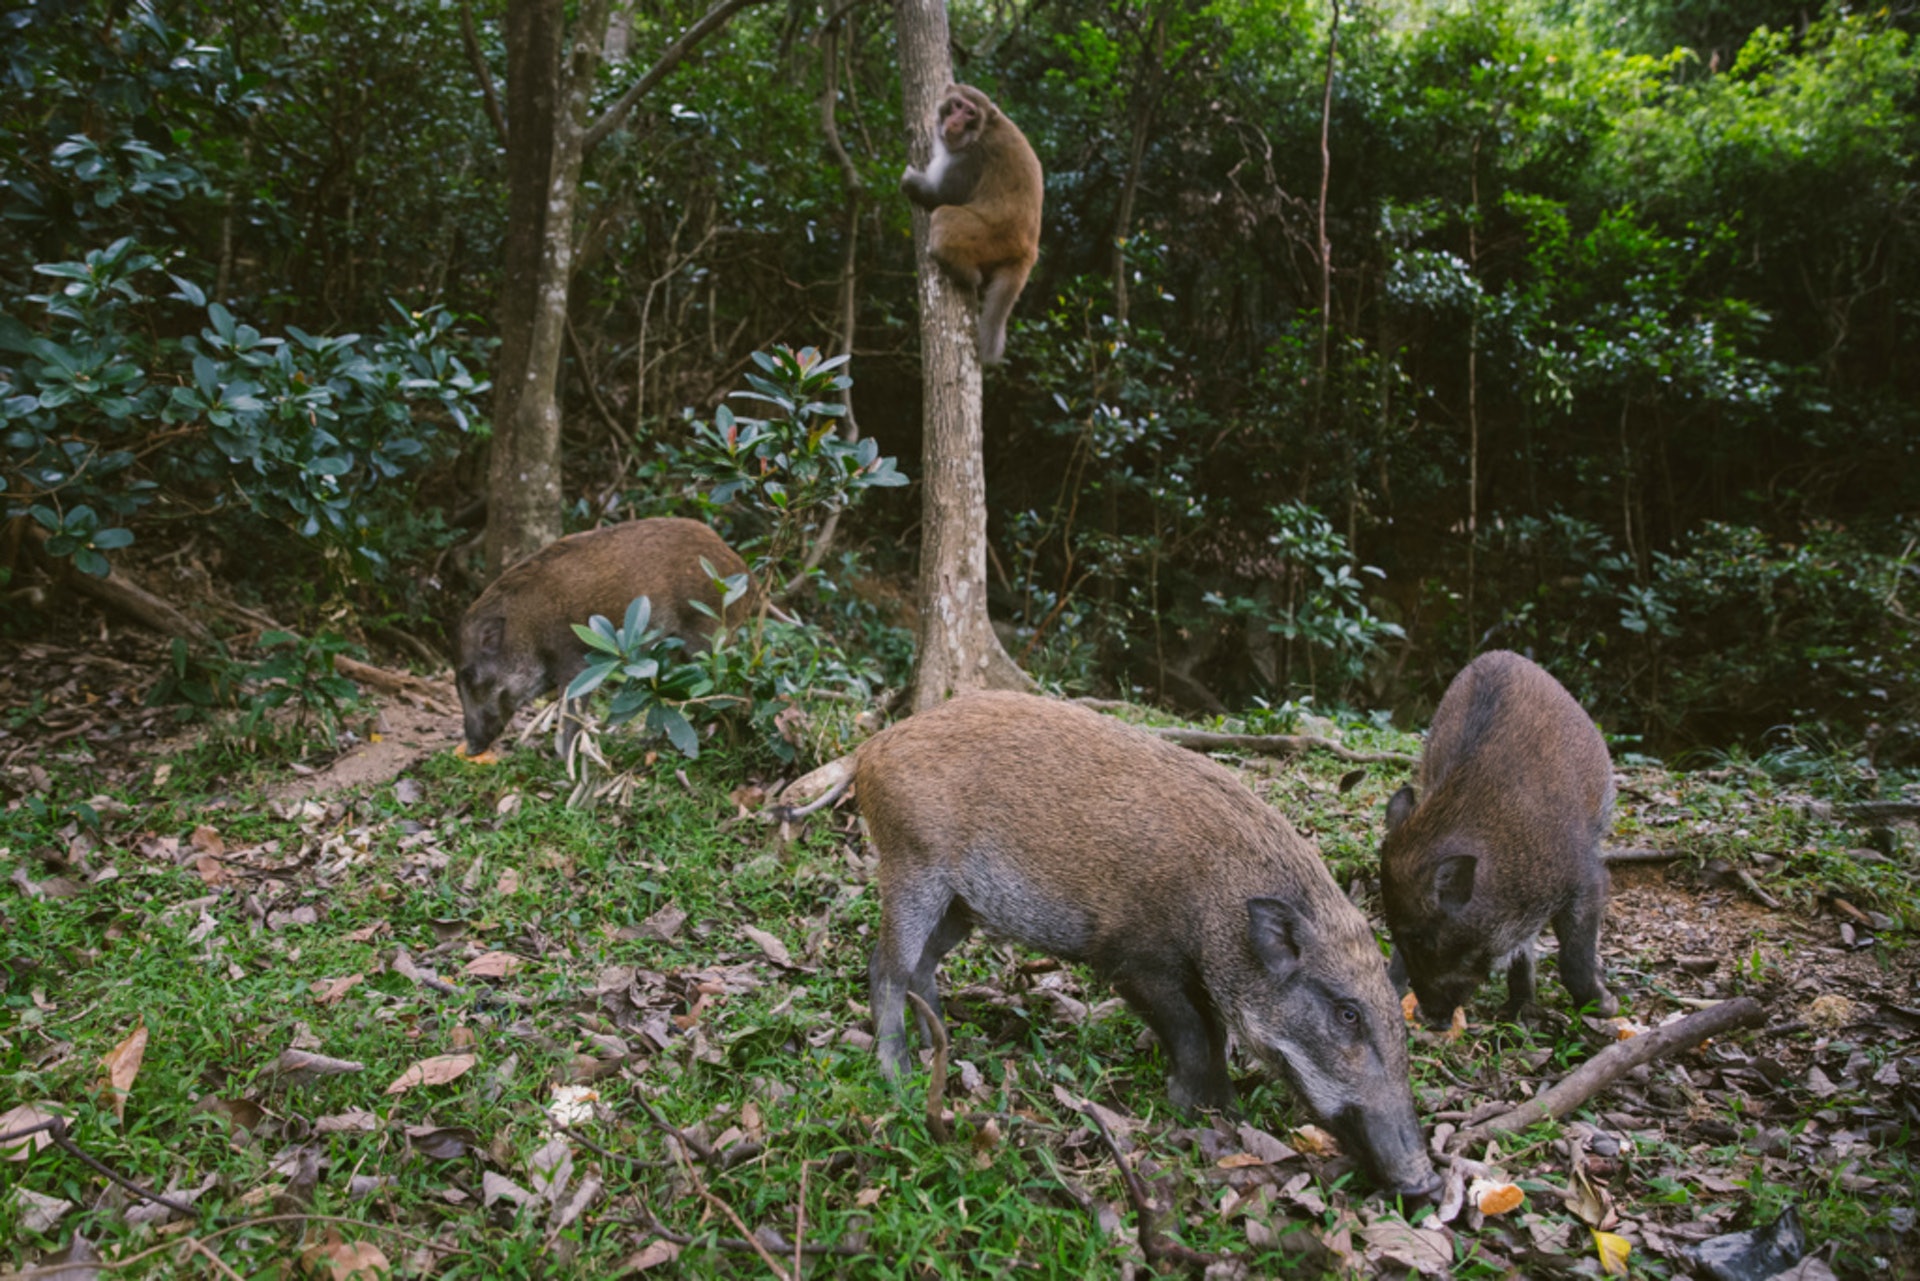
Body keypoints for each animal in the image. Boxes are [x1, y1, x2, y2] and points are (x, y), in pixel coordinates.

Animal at [902, 83, 1044, 364]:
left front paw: (911, 181)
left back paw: (966, 274)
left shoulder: (970, 159)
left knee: (943, 215)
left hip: (990, 237)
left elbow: (942, 197)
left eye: (970, 113)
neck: (982, 131)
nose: (956, 121)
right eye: (957, 105)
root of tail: (1028, 252)